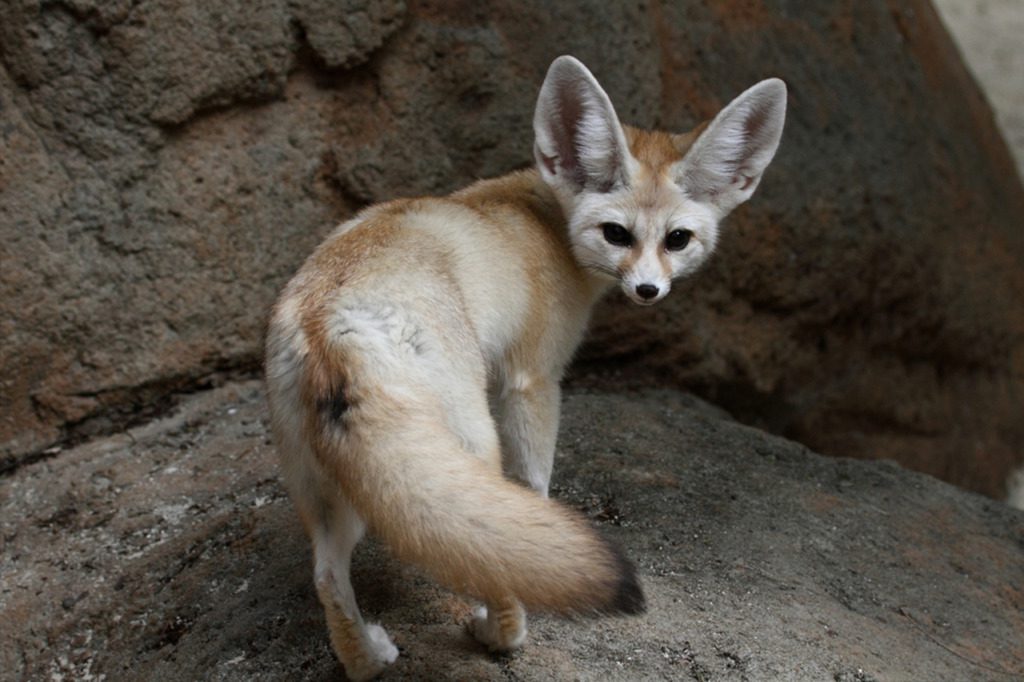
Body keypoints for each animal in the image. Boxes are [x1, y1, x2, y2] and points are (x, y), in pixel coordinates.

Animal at [264, 55, 782, 675]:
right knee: (487, 547)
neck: (543, 217)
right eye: (617, 234)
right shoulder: (534, 379)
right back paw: (501, 635)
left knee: (327, 576)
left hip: (323, 485)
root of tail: (331, 321)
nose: (648, 290)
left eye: (677, 240)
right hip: (471, 438)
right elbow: (534, 488)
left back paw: (367, 658)